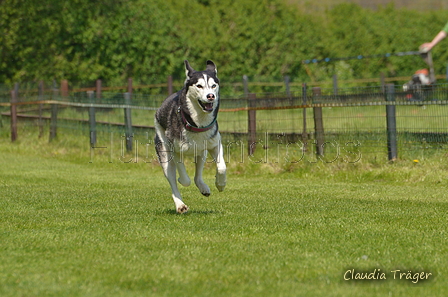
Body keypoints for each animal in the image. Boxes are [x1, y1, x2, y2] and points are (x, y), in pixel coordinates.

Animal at [154, 60, 226, 213]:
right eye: (199, 86)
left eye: (213, 85)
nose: (210, 96)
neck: (197, 124)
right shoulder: (175, 150)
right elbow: (184, 177)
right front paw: (182, 181)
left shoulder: (215, 144)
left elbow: (222, 167)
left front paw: (220, 184)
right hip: (164, 150)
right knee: (172, 178)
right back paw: (180, 205)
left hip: (201, 152)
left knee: (198, 174)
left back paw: (203, 187)